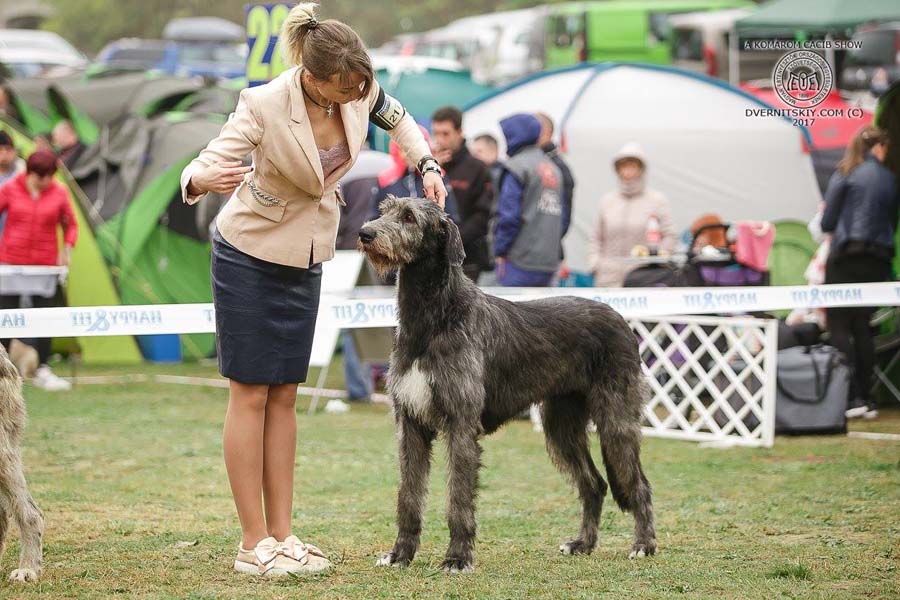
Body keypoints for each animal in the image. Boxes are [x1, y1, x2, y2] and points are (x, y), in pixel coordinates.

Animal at [356, 196, 652, 572]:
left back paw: (644, 544)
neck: (433, 316)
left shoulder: (461, 423)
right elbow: (408, 496)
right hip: (561, 425)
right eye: (385, 209)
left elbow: (459, 499)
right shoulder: (410, 422)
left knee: (639, 484)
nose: (365, 233)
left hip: (616, 418)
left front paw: (457, 557)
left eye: (409, 217)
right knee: (594, 484)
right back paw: (582, 543)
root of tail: (622, 321)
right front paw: (400, 554)